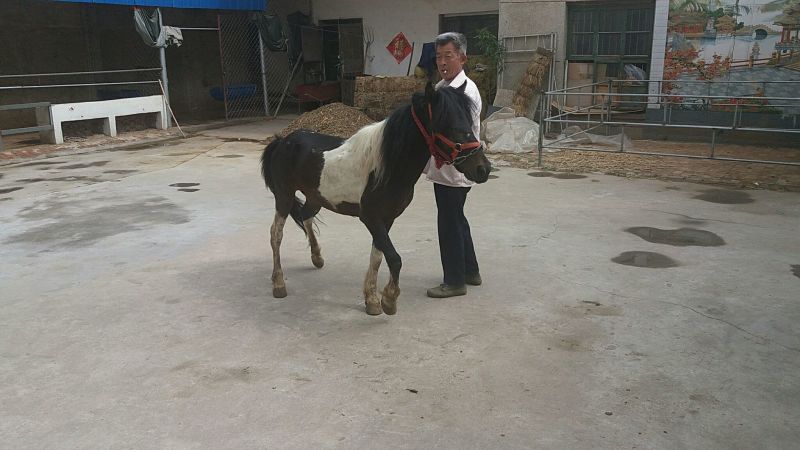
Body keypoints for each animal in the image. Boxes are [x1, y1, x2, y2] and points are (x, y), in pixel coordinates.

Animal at [260, 82, 491, 316]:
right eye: (447, 124)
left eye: (469, 122)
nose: (483, 169)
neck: (386, 168)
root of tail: (283, 141)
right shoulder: (370, 217)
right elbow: (395, 259)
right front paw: (389, 299)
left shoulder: (387, 218)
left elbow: (378, 256)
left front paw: (372, 300)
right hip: (284, 196)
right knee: (276, 234)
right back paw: (278, 283)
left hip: (315, 198)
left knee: (305, 217)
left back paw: (317, 257)